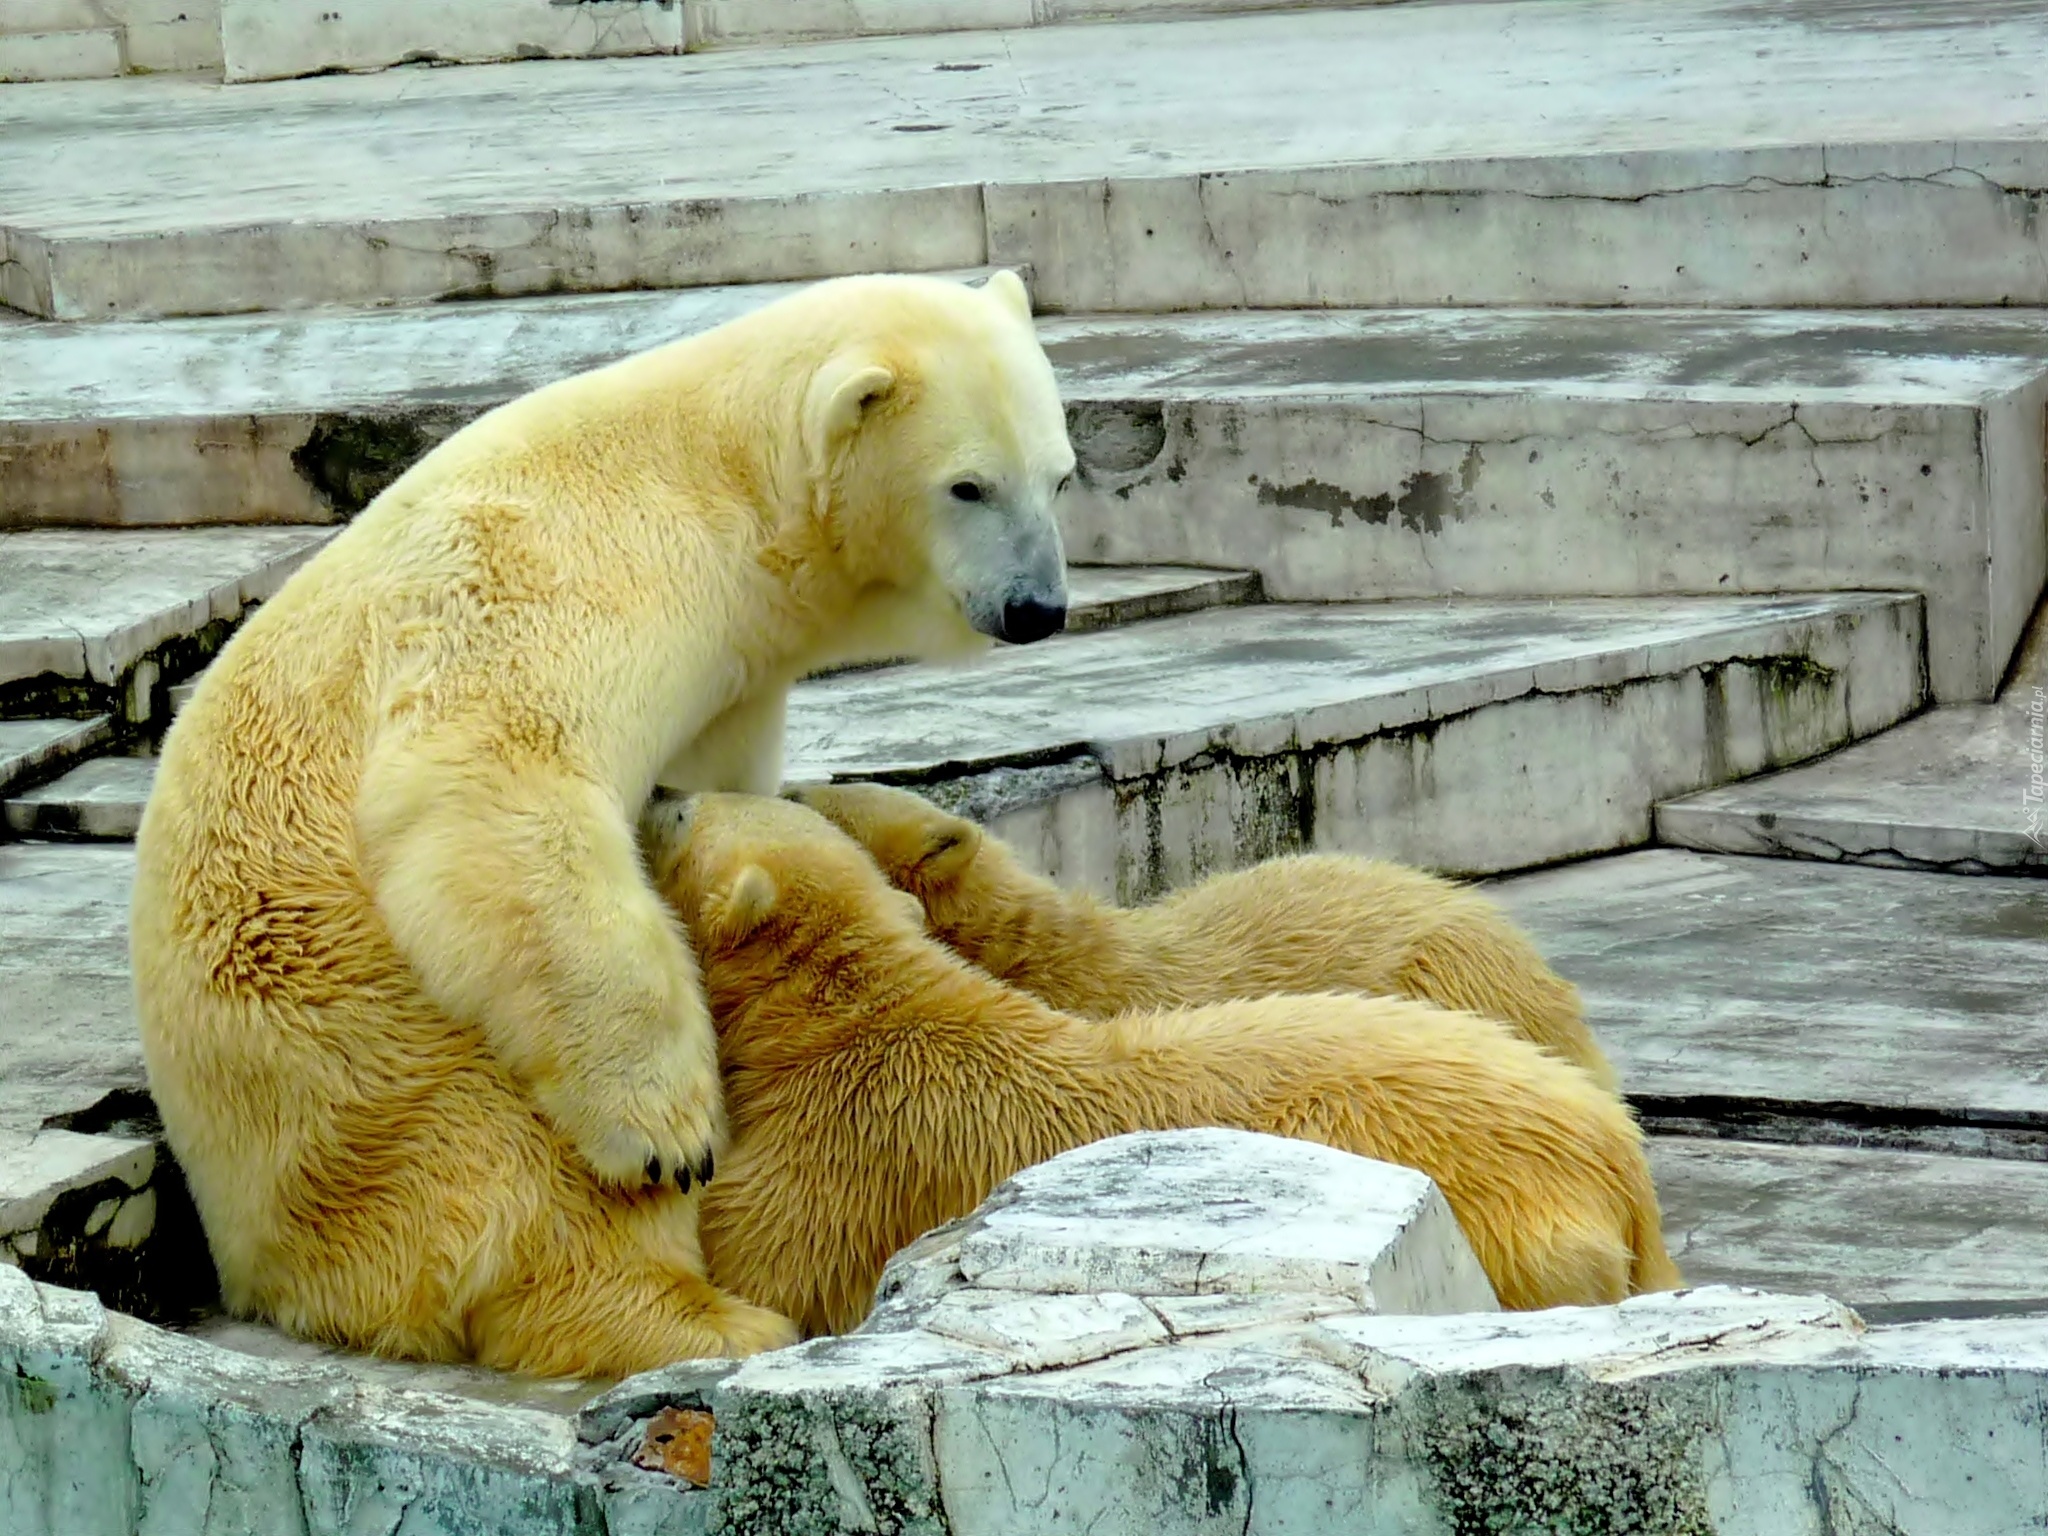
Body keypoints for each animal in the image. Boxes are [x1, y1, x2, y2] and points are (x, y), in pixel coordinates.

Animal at [132, 274, 1073, 1368]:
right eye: (968, 486)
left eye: (1058, 476)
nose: (1039, 608)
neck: (719, 477)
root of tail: (256, 1265)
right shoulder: (546, 575)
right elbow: (500, 783)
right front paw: (666, 1126)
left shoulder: (727, 673)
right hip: (362, 1044)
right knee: (519, 1185)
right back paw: (714, 1314)